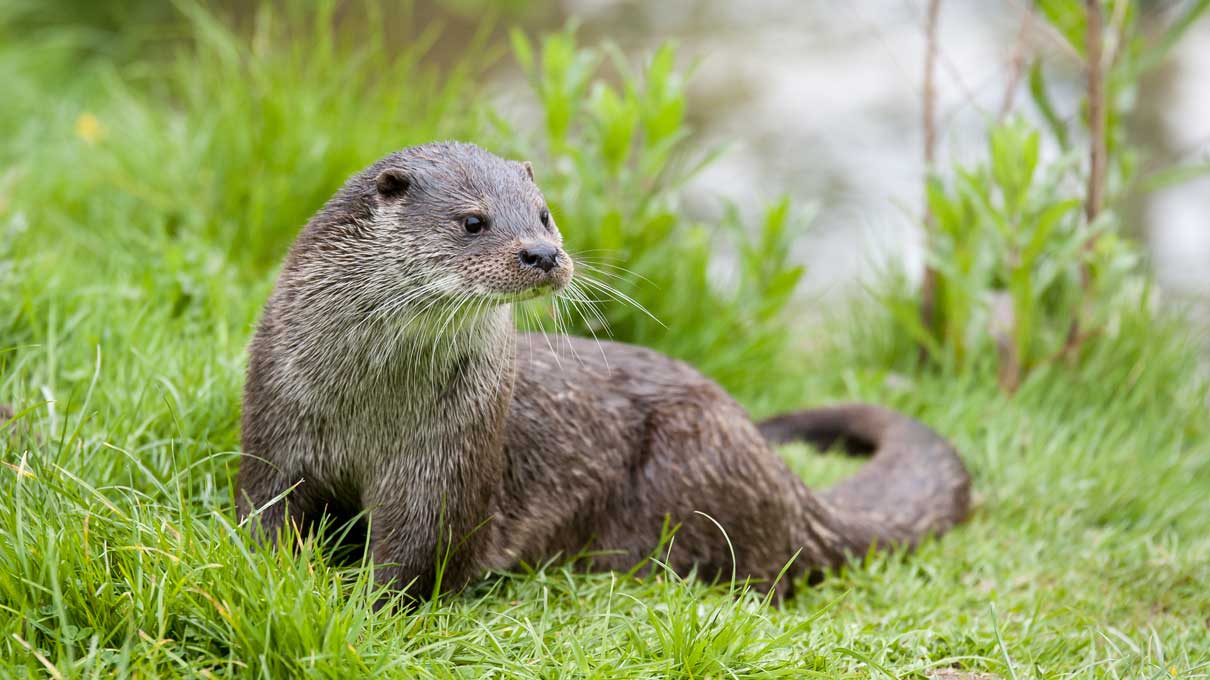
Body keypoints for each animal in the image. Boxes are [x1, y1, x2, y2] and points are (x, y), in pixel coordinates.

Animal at [238, 140, 972, 595]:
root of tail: (790, 487)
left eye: (544, 215)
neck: (370, 405)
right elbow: (264, 512)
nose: (542, 253)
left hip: (696, 457)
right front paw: (273, 576)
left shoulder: (446, 460)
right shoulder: (277, 420)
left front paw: (365, 606)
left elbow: (418, 556)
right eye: (473, 220)